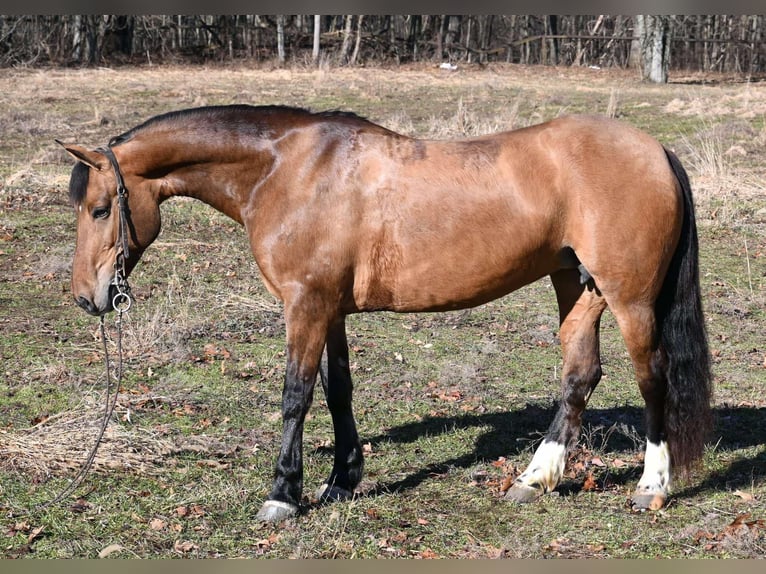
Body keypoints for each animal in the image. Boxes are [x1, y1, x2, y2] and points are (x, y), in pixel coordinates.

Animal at [60, 103, 712, 520]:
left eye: (99, 209)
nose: (88, 297)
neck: (286, 169)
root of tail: (655, 149)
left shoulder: (306, 305)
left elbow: (296, 394)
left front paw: (283, 494)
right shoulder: (330, 310)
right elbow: (337, 391)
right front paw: (341, 481)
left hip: (629, 300)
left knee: (653, 379)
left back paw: (652, 487)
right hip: (576, 287)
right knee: (580, 375)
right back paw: (534, 480)